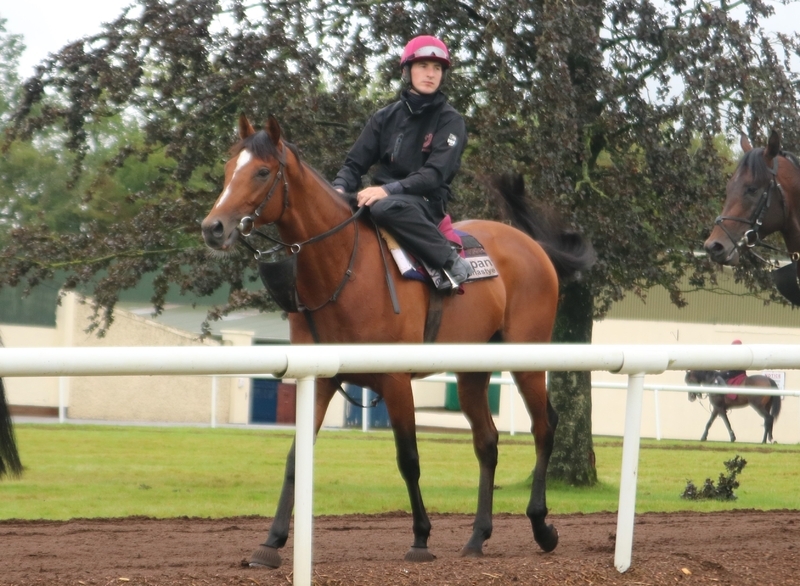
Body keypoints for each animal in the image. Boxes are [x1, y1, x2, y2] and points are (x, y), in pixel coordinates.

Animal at [202, 114, 592, 564]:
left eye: (262, 171)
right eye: (228, 170)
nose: (212, 227)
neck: (344, 267)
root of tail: (534, 246)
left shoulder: (395, 381)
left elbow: (408, 458)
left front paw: (421, 537)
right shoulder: (320, 379)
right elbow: (296, 457)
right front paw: (270, 542)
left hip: (527, 359)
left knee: (544, 427)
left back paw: (541, 526)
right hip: (471, 371)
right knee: (487, 442)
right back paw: (477, 536)